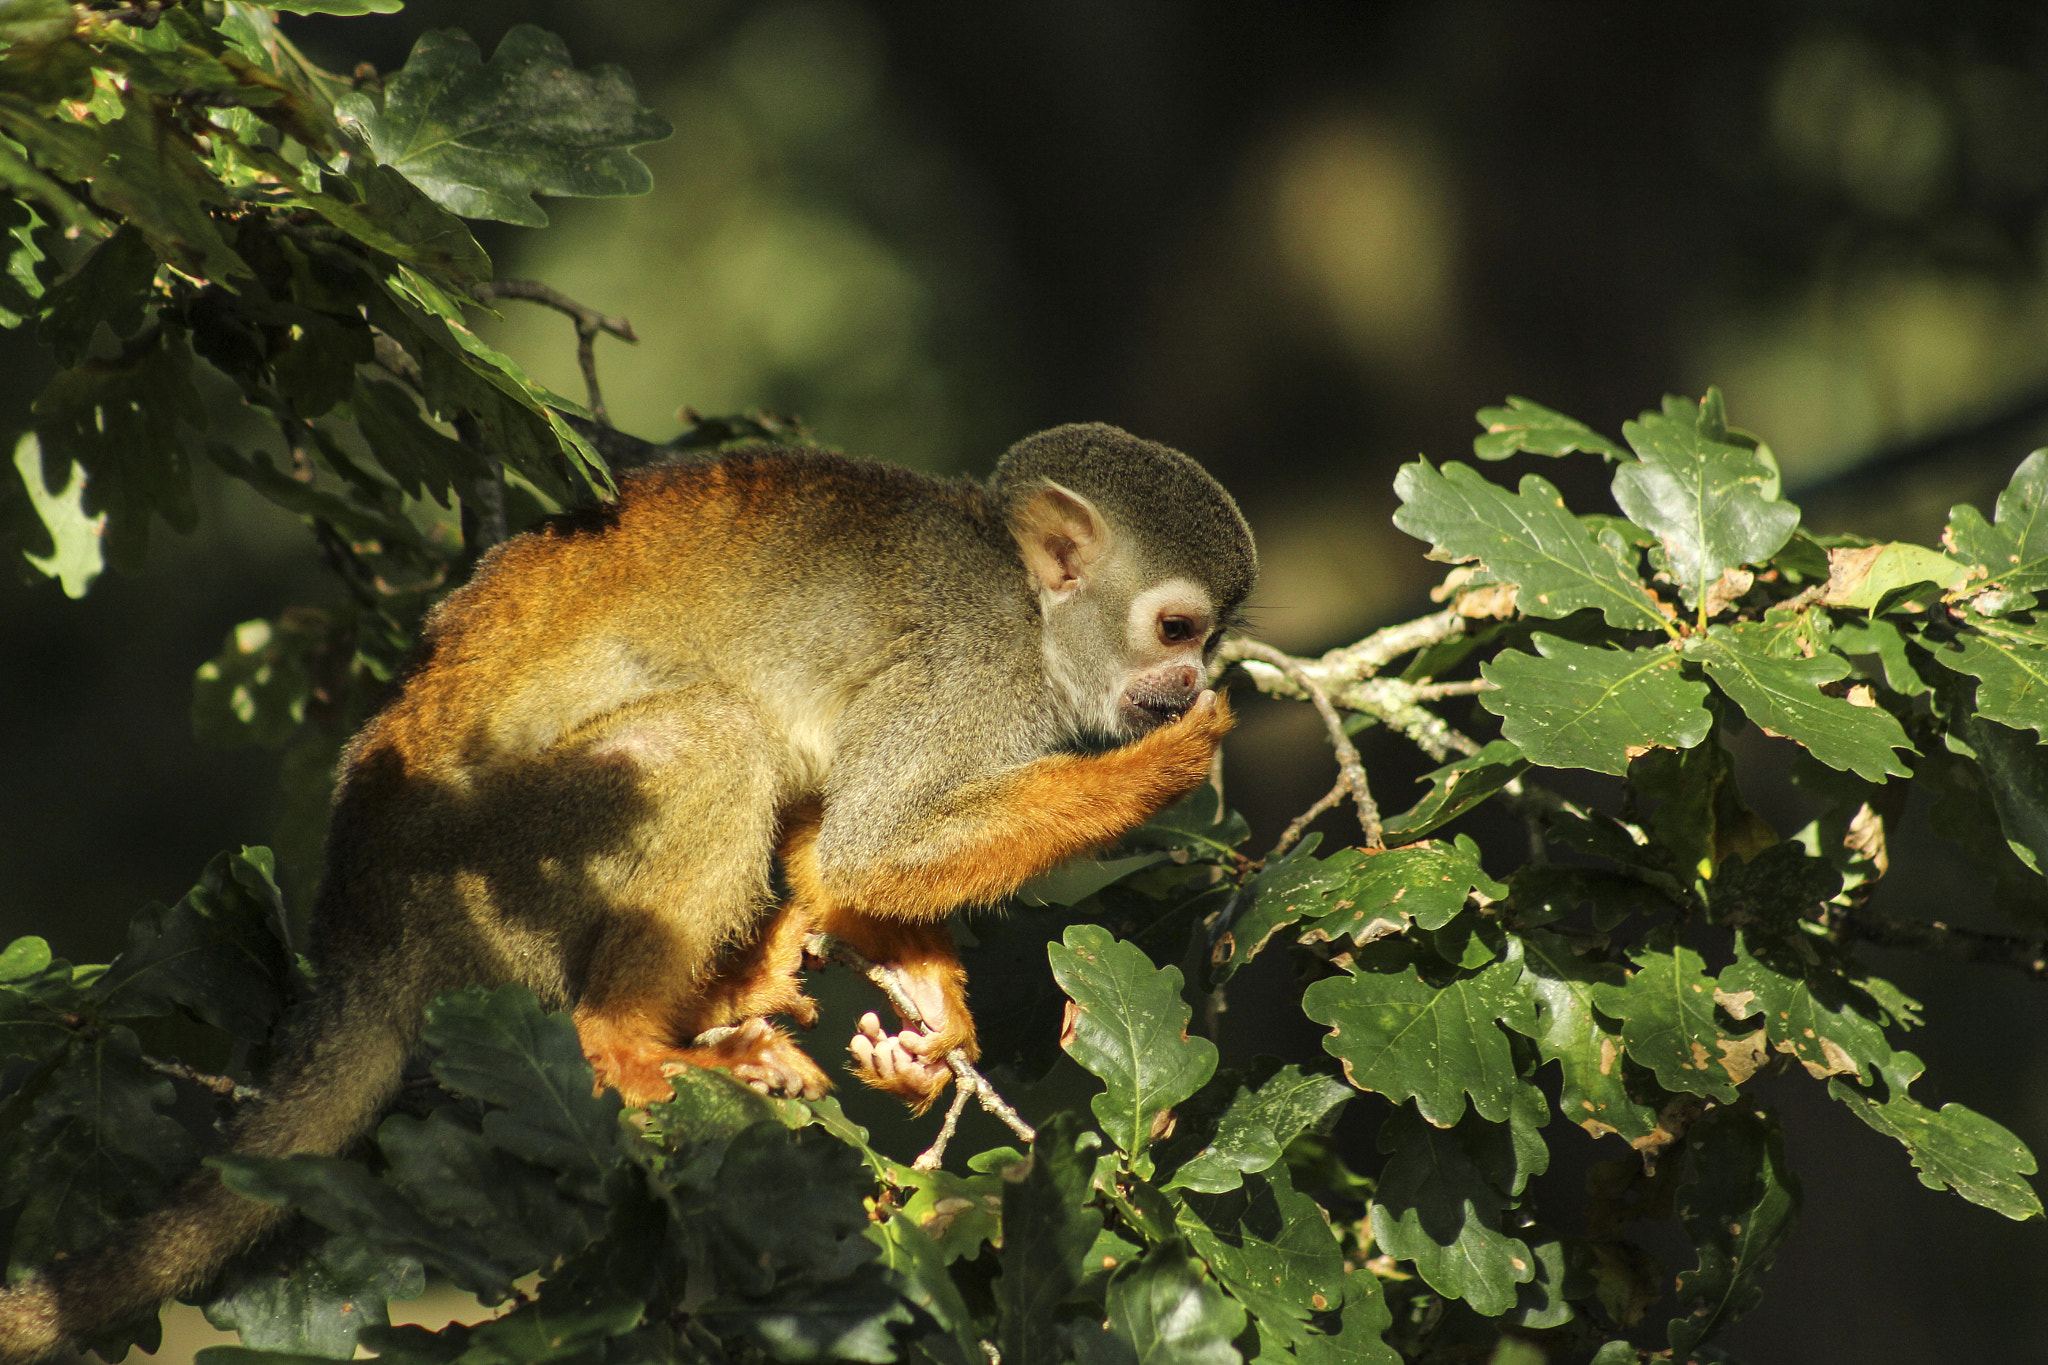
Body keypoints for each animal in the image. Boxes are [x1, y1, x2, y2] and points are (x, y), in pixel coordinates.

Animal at [0, 423, 1245, 1358]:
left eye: (1209, 637)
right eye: (1177, 628)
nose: (1188, 681)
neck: (1028, 610)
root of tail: (363, 928)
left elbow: (835, 857)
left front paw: (927, 1024)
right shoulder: (971, 670)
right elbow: (871, 847)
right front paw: (1165, 765)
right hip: (501, 872)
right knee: (716, 741)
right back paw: (630, 1042)